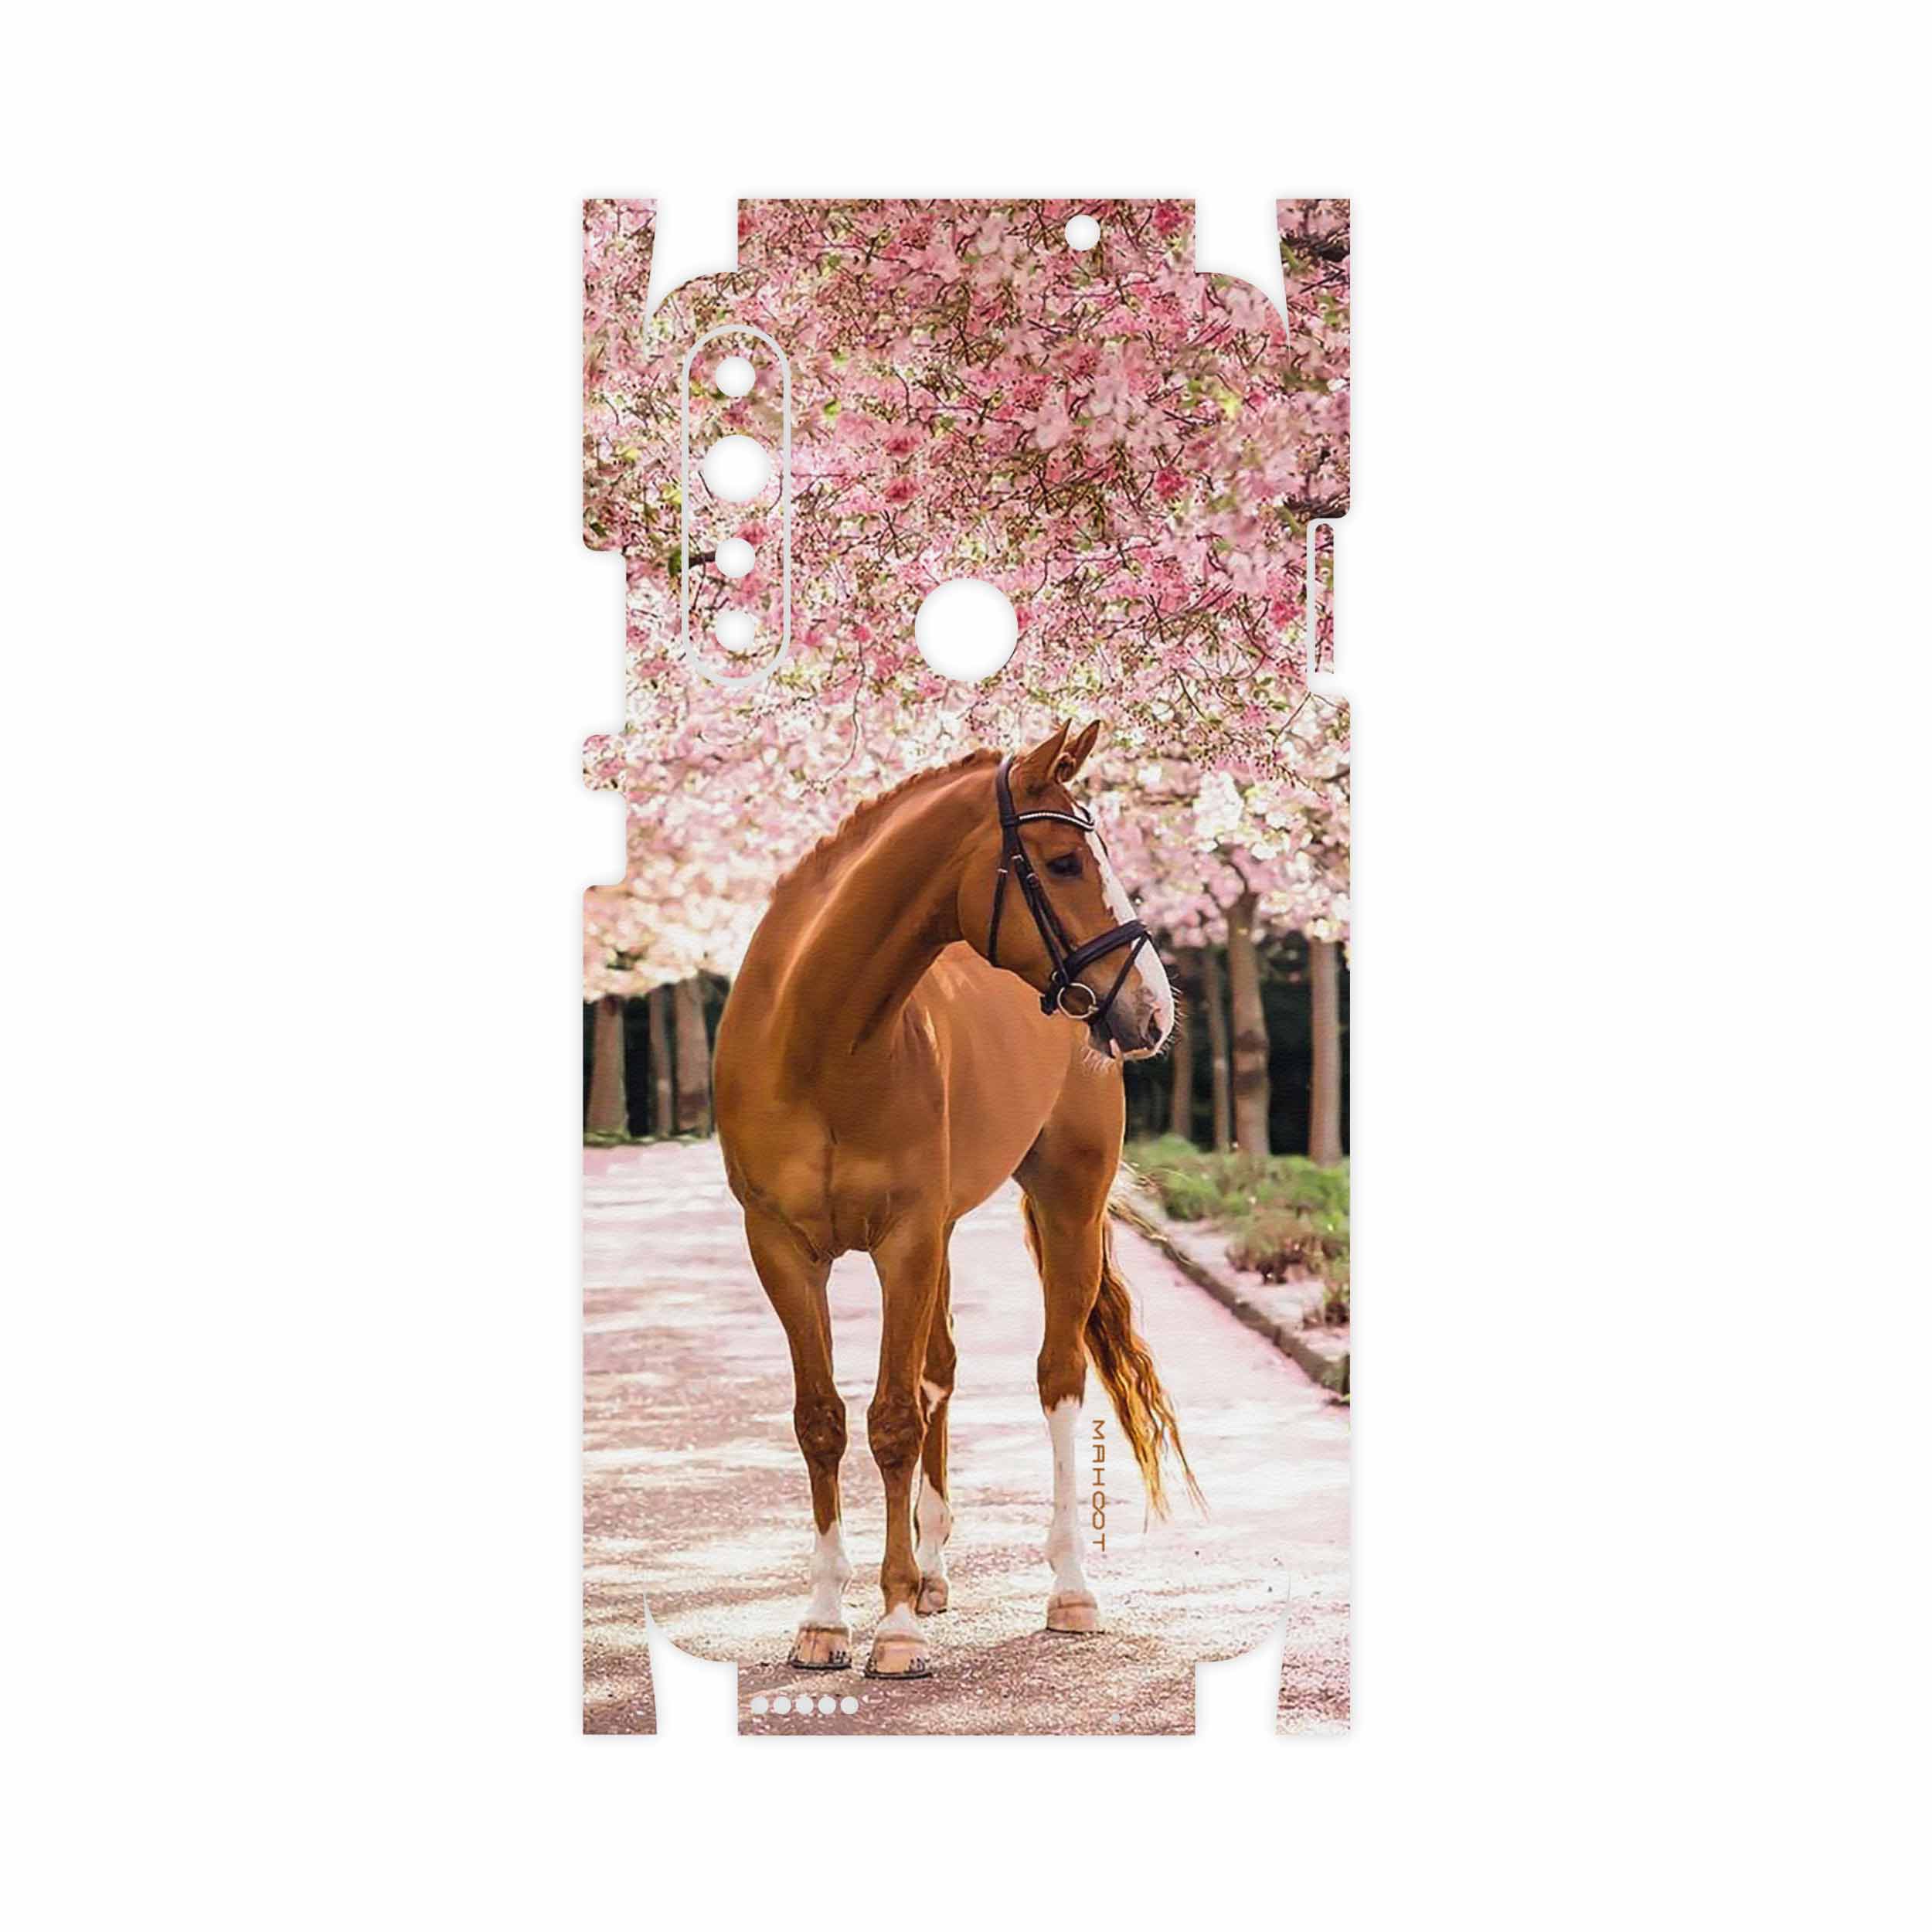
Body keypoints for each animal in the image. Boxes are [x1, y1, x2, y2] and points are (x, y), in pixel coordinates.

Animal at [713, 719, 1196, 1679]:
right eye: (1062, 862)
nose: (1154, 1009)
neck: (818, 1040)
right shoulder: (782, 1248)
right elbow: (822, 1420)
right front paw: (824, 1619)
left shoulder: (903, 1239)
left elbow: (893, 1419)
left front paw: (893, 1628)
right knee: (940, 1370)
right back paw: (933, 1572)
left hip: (1065, 1203)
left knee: (1056, 1377)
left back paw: (1067, 1589)